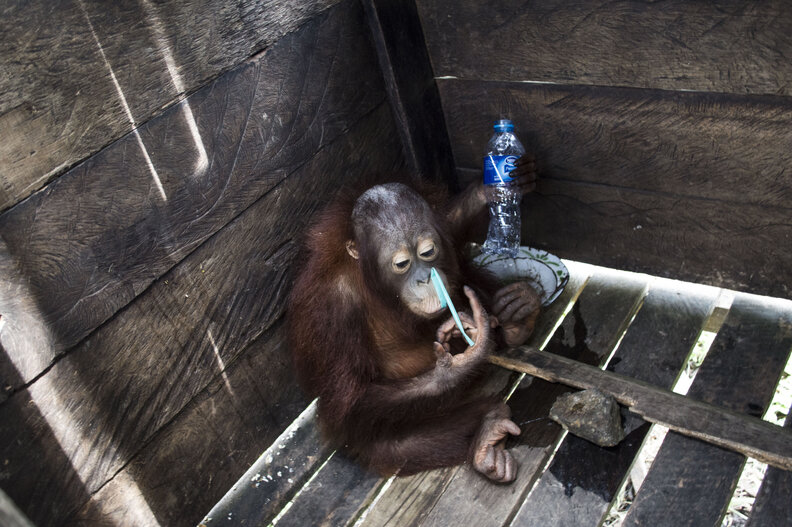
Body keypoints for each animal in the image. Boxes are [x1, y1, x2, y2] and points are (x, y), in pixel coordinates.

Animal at [287, 157, 540, 483]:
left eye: (428, 252)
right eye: (402, 264)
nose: (424, 278)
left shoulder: (441, 231)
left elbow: (451, 227)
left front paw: (493, 187)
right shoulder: (331, 310)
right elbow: (349, 402)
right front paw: (458, 366)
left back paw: (517, 315)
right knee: (391, 445)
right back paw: (487, 432)